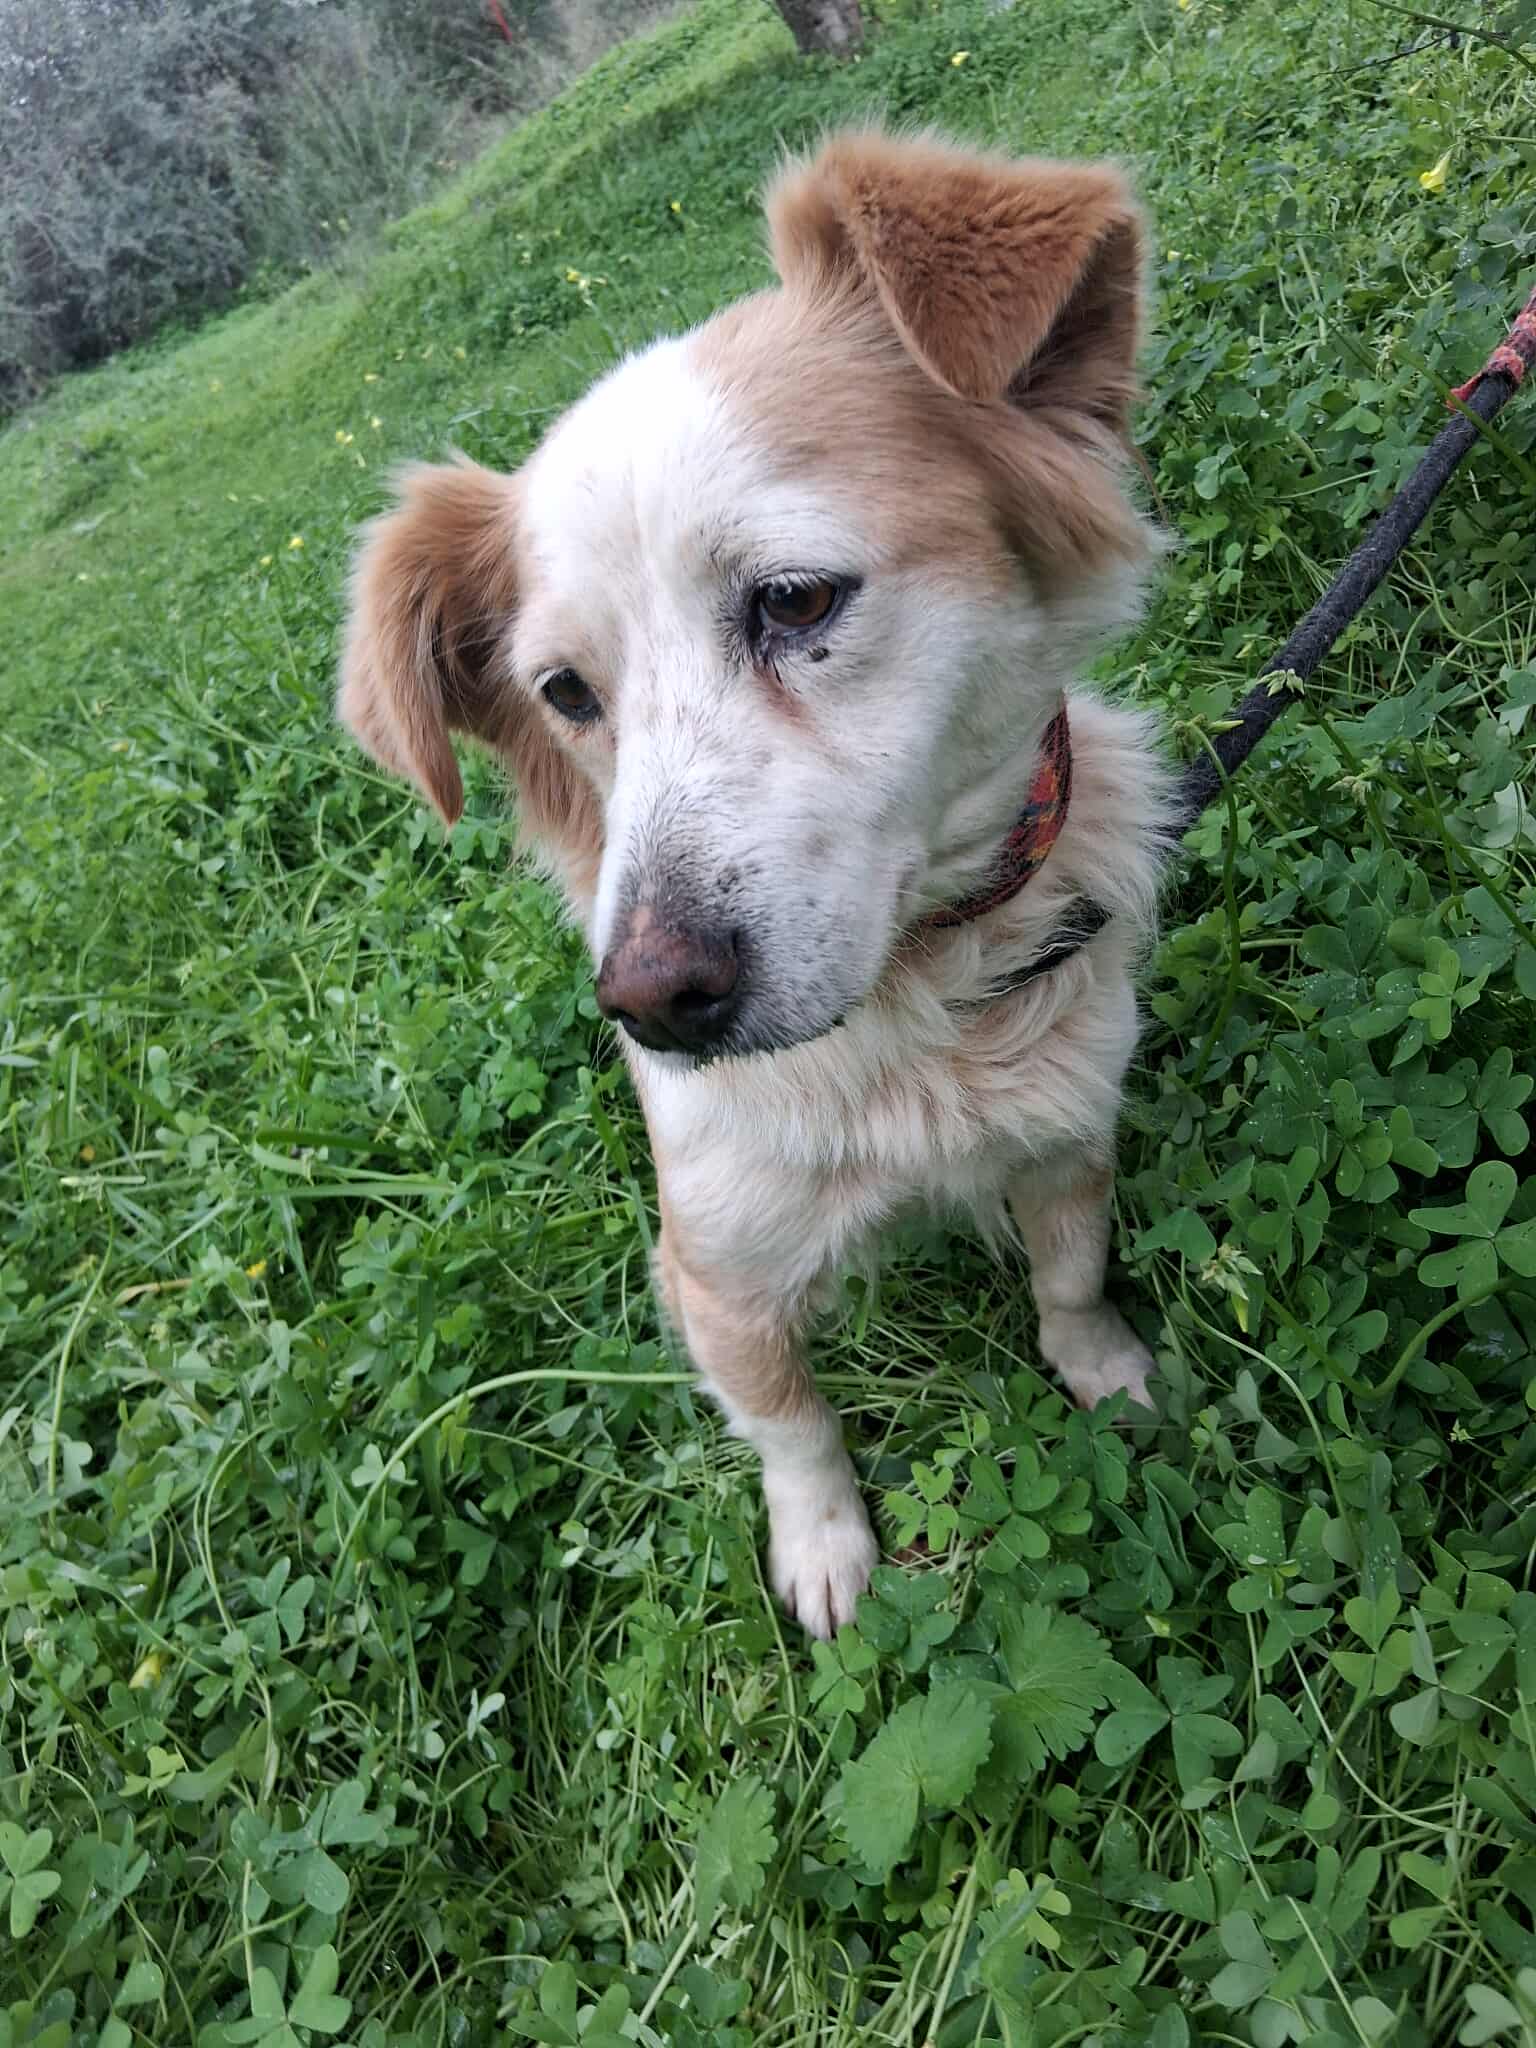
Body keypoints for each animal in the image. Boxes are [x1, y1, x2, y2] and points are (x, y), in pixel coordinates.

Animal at [337, 130, 1173, 1638]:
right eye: (566, 694)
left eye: (793, 600)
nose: (650, 1003)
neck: (910, 1013)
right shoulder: (714, 1268)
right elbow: (792, 1419)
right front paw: (826, 1548)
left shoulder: (1074, 1128)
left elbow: (1072, 1278)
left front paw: (1105, 1370)